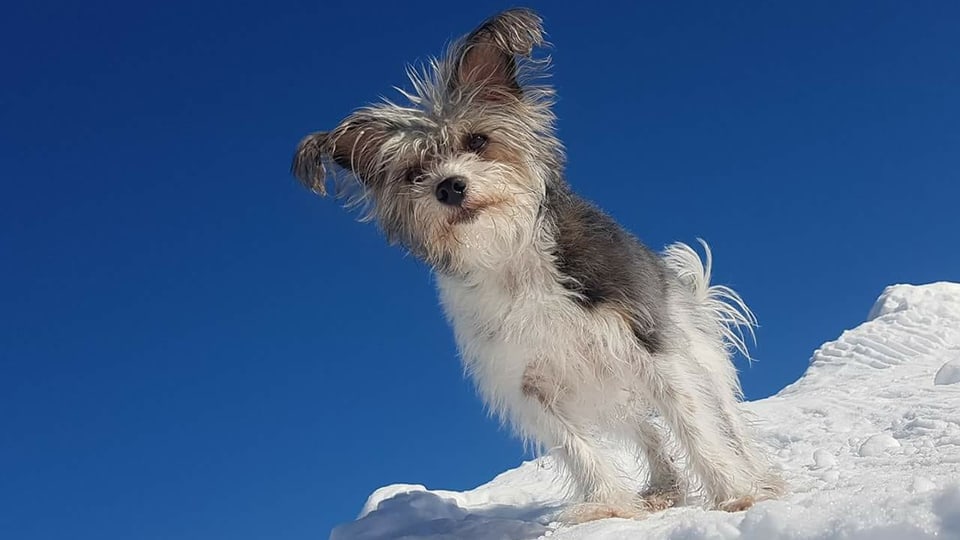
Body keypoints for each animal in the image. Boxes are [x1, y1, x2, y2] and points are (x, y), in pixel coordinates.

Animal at [290, 9, 780, 524]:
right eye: (414, 174)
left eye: (478, 140)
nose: (448, 187)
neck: (510, 255)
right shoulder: (532, 385)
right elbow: (579, 449)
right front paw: (608, 506)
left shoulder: (651, 349)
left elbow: (694, 425)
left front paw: (734, 493)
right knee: (645, 433)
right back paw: (663, 488)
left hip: (693, 354)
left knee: (723, 418)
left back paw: (755, 474)